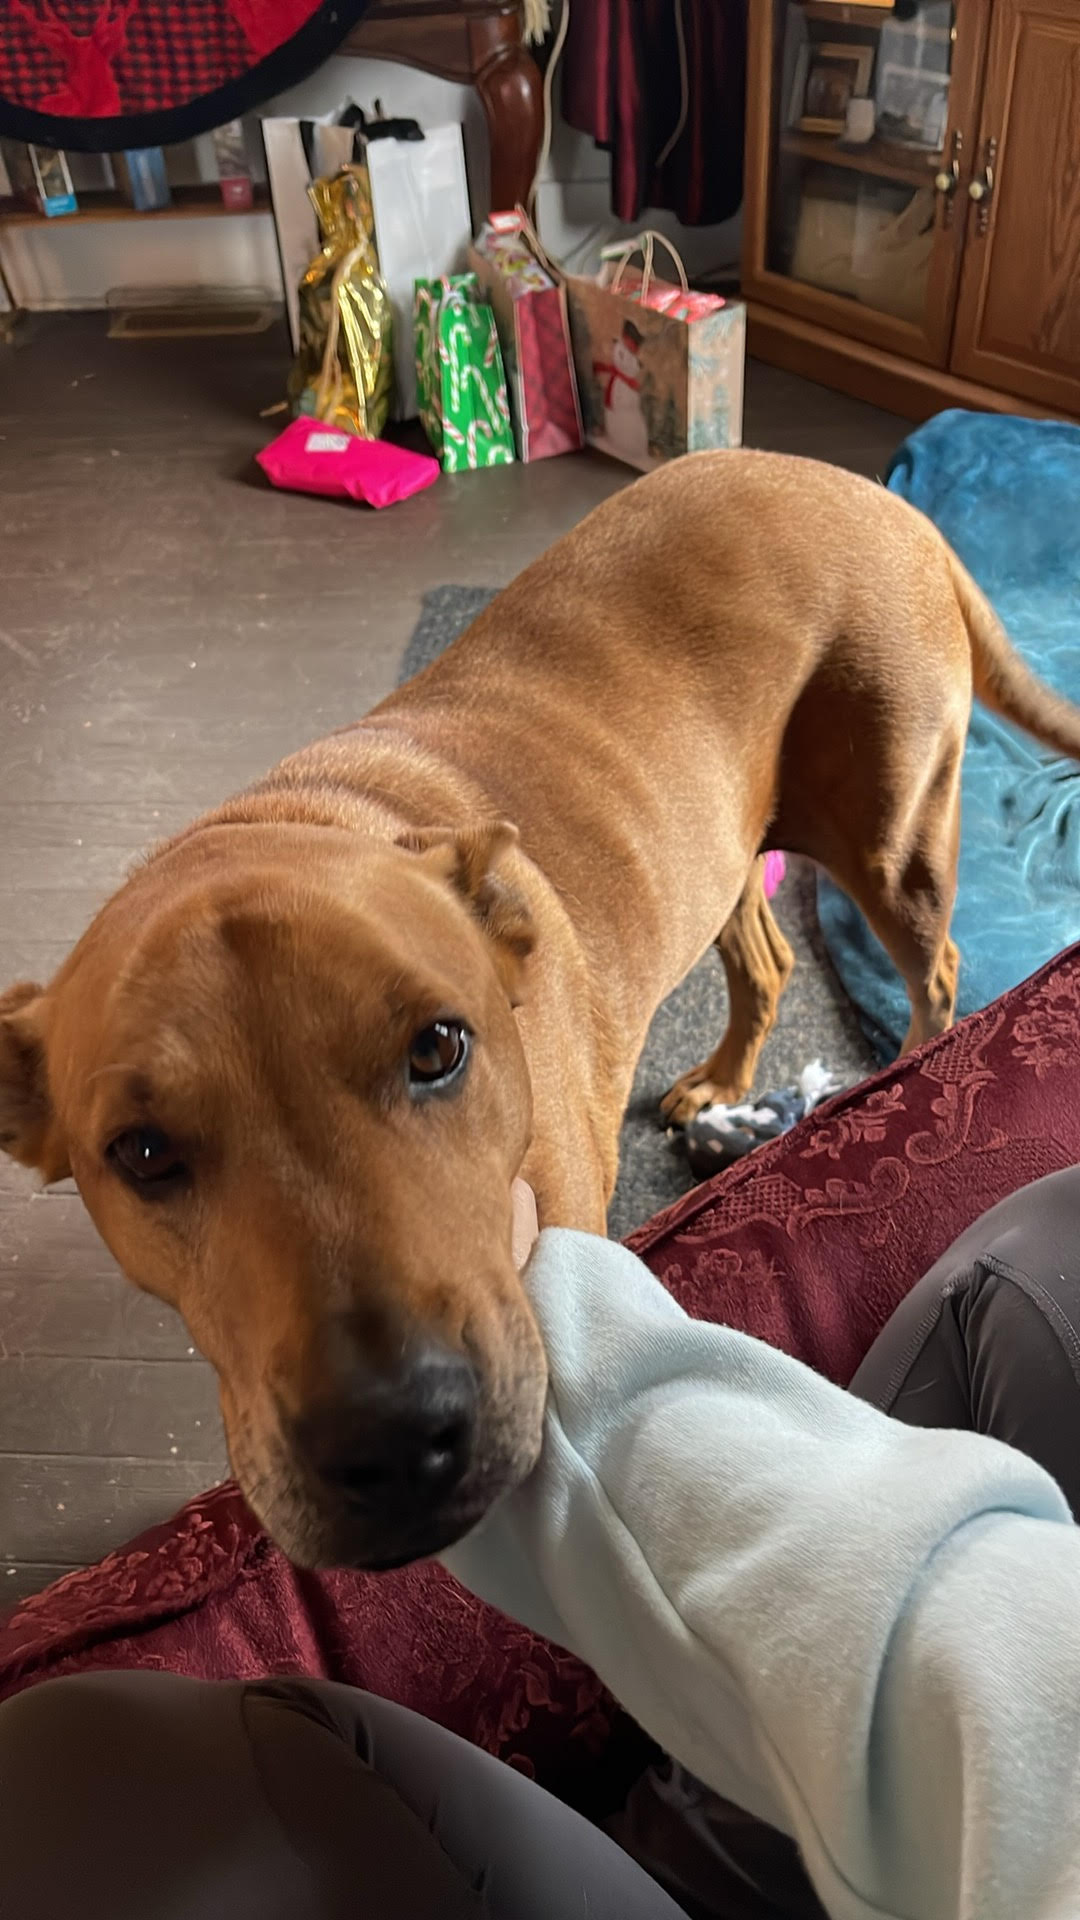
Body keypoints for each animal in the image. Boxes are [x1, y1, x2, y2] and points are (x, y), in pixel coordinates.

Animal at [2, 453, 1076, 1574]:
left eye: (438, 1047)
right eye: (142, 1153)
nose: (393, 1441)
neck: (296, 820)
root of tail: (878, 496)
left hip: (891, 838)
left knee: (936, 965)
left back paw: (912, 1061)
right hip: (719, 844)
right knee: (771, 961)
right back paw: (726, 1081)